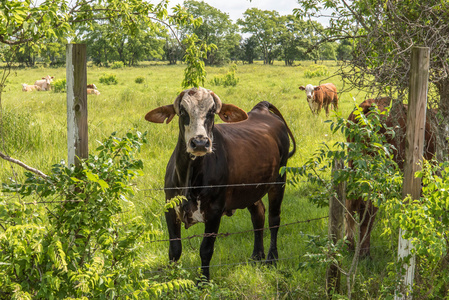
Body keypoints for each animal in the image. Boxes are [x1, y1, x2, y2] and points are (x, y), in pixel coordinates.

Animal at [145, 86, 296, 282]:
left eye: (211, 112)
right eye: (183, 111)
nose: (200, 142)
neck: (189, 179)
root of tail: (261, 108)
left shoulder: (214, 212)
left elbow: (206, 250)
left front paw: (203, 282)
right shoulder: (170, 208)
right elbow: (174, 250)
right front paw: (173, 279)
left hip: (279, 182)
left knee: (274, 219)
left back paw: (271, 258)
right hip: (250, 190)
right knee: (258, 215)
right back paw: (257, 255)